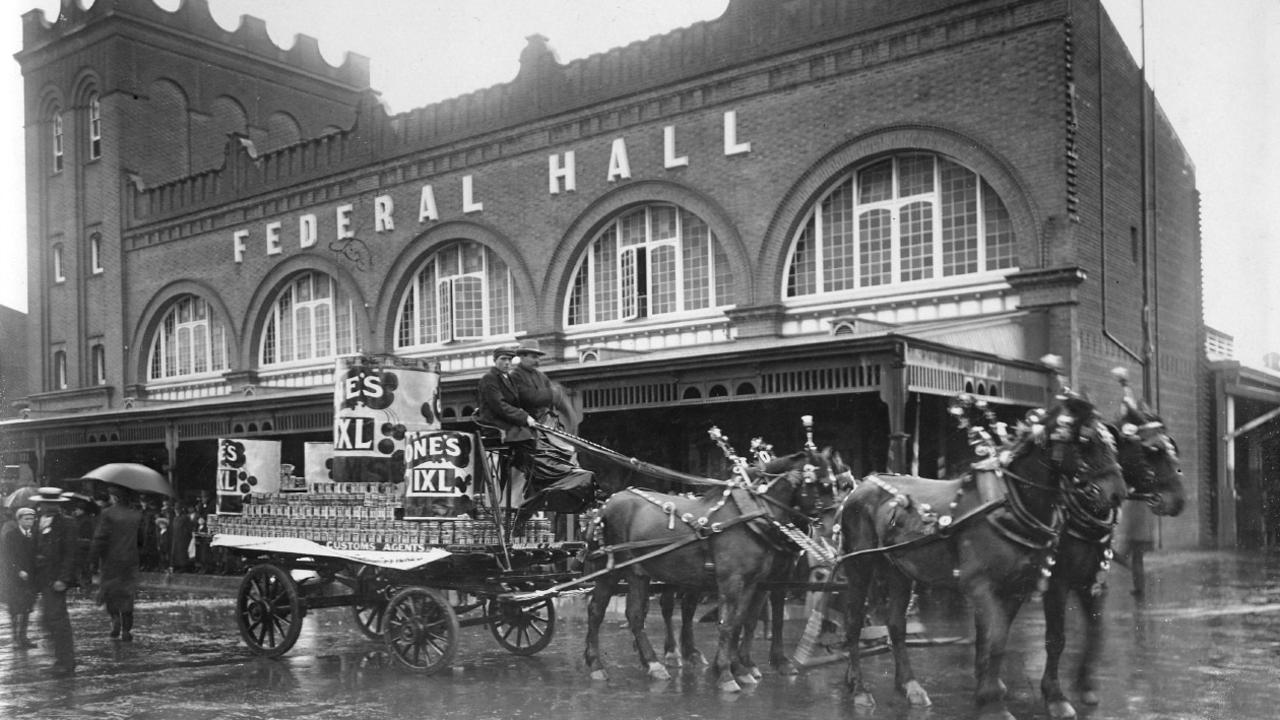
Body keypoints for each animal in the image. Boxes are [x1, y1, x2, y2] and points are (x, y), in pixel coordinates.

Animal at [583, 445, 839, 686]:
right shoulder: (733, 580)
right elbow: (729, 623)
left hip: (642, 573)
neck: (754, 518)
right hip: (615, 570)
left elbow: (743, 621)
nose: (834, 528)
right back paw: (616, 664)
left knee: (630, 612)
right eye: (823, 485)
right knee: (610, 612)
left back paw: (648, 661)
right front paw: (727, 673)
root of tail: (605, 505)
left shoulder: (758, 581)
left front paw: (742, 668)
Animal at [834, 392, 1126, 717]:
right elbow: (998, 640)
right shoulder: (984, 585)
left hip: (898, 571)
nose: (1118, 493)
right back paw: (860, 690)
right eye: (1085, 440)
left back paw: (909, 686)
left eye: (1112, 443)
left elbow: (997, 641)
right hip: (860, 565)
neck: (1010, 503)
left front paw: (990, 692)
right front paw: (995, 702)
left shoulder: (1016, 588)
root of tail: (859, 487)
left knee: (896, 624)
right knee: (854, 622)